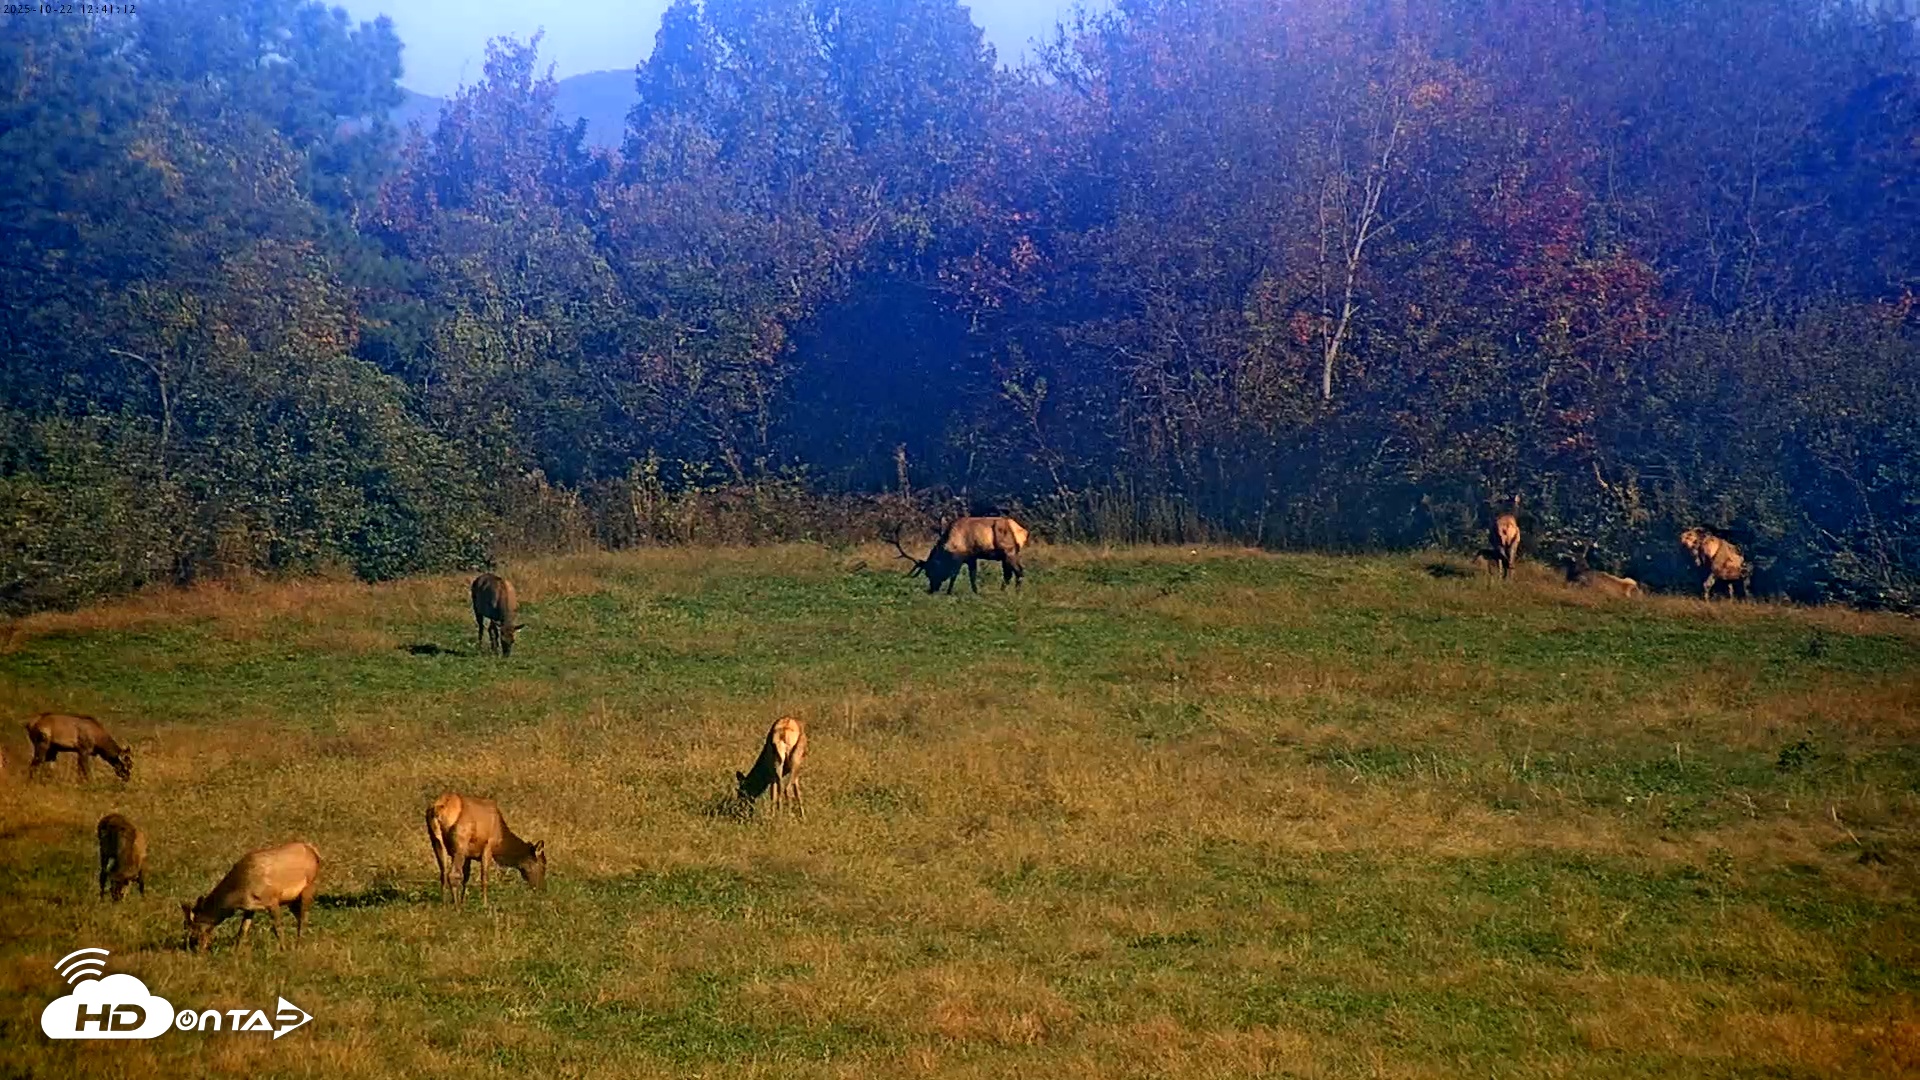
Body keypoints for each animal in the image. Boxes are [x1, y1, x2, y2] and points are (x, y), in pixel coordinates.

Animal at [181, 840, 321, 953]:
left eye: (192, 930)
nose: (194, 950)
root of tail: (314, 852)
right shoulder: (250, 908)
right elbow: (242, 930)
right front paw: (236, 951)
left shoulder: (272, 900)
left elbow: (278, 927)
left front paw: (283, 949)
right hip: (292, 900)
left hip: (308, 888)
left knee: (303, 918)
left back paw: (298, 946)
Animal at [887, 516, 1030, 595]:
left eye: (929, 572)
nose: (932, 589)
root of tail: (1023, 532)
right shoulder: (971, 557)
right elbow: (972, 576)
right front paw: (975, 592)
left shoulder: (960, 557)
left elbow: (953, 576)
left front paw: (949, 592)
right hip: (1005, 556)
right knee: (1009, 574)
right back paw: (1002, 591)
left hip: (1009, 552)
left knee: (1019, 571)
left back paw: (1016, 593)